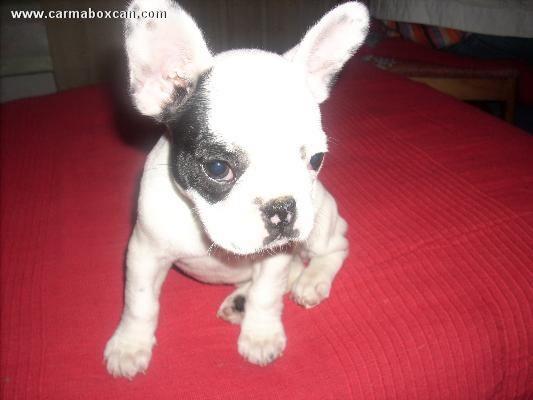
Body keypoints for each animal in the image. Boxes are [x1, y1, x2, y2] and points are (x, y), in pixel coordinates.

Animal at [105, 0, 368, 378]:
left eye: (316, 160)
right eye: (218, 168)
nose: (282, 208)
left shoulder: (275, 257)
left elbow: (267, 294)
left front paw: (260, 336)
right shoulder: (144, 252)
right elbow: (139, 301)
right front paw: (130, 345)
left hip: (321, 220)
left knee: (335, 246)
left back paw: (310, 281)